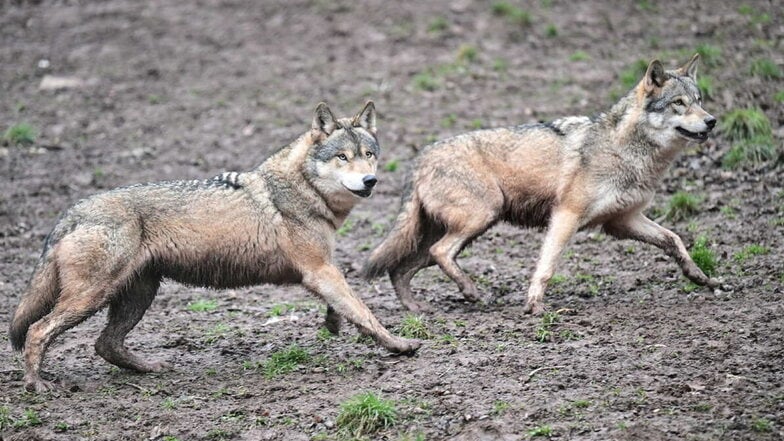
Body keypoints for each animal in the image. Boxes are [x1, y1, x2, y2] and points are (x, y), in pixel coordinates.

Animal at [9, 100, 422, 392]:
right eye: (342, 157)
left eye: (368, 155)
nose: (370, 181)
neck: (301, 189)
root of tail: (72, 211)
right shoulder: (320, 270)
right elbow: (365, 312)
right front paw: (399, 344)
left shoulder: (321, 271)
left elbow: (343, 307)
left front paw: (334, 325)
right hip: (93, 297)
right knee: (38, 331)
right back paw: (37, 384)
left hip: (136, 296)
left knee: (104, 344)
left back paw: (151, 369)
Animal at [364, 55, 720, 314]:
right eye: (678, 103)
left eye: (699, 100)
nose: (712, 120)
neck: (626, 150)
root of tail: (420, 157)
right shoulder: (566, 215)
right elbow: (547, 265)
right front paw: (534, 305)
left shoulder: (623, 221)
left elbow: (674, 240)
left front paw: (699, 277)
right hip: (481, 218)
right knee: (438, 253)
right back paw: (472, 293)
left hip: (455, 231)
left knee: (402, 268)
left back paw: (417, 309)